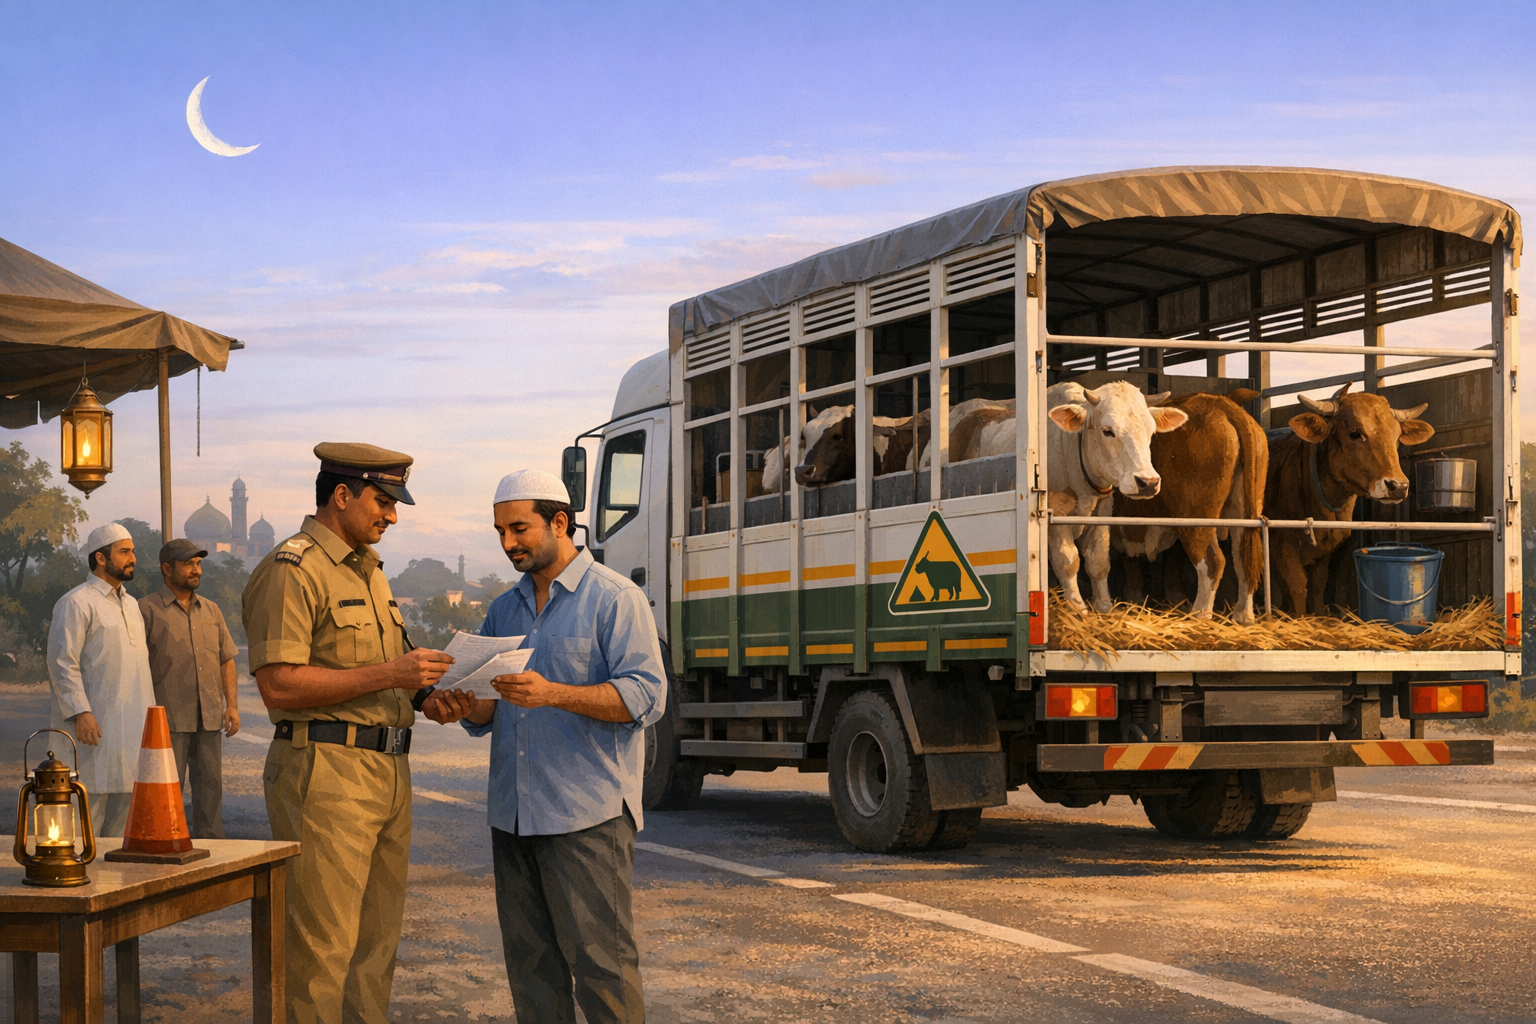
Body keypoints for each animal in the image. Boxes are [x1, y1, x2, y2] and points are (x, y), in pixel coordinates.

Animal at [1046, 381, 1189, 612]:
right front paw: (1078, 608)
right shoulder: (1056, 515)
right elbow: (1067, 561)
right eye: (1107, 431)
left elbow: (1098, 560)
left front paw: (1104, 606)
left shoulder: (1102, 511)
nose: (1148, 482)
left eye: (1151, 431)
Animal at [1111, 389, 1268, 623]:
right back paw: (1243, 616)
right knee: (1243, 559)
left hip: (1194, 518)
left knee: (1213, 562)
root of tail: (1221, 404)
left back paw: (1199, 615)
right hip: (1245, 513)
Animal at [1265, 382, 1434, 615]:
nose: (1398, 486)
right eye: (1355, 433)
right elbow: (1297, 586)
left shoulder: (1326, 549)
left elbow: (1318, 586)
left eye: (1397, 437)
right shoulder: (1280, 545)